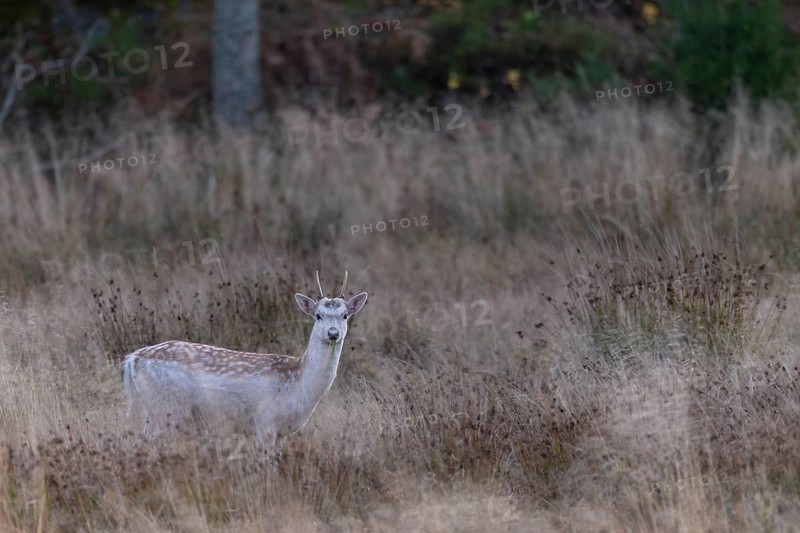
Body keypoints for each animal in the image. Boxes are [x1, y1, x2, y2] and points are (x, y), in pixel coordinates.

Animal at [121, 271, 368, 453]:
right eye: (318, 315)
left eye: (345, 315)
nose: (333, 333)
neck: (298, 384)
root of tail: (132, 359)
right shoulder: (265, 421)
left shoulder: (281, 432)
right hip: (167, 408)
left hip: (155, 409)